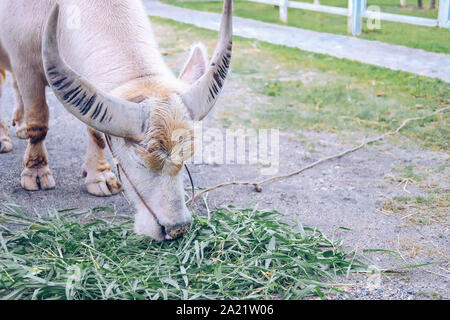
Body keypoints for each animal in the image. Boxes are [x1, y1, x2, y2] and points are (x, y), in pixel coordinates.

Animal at [0, 0, 232, 240]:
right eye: (140, 160)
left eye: (186, 156)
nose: (177, 228)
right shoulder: (25, 67)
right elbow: (38, 123)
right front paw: (36, 172)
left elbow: (96, 134)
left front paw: (99, 176)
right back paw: (4, 139)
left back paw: (19, 127)